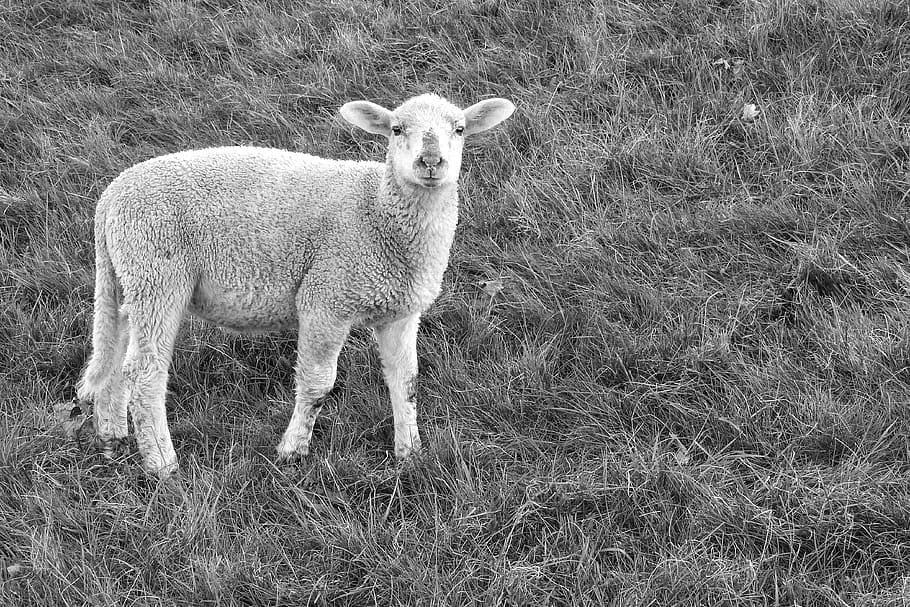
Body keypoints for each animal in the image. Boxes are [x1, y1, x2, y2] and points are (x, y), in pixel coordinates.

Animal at [75, 93, 515, 477]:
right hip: (156, 269)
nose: (431, 160)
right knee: (144, 373)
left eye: (459, 129)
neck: (377, 214)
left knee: (114, 357)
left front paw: (410, 452)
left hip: (126, 279)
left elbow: (406, 383)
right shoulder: (326, 297)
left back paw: (112, 436)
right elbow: (318, 384)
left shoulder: (401, 311)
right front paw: (292, 451)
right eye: (396, 129)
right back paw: (162, 465)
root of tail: (110, 198)